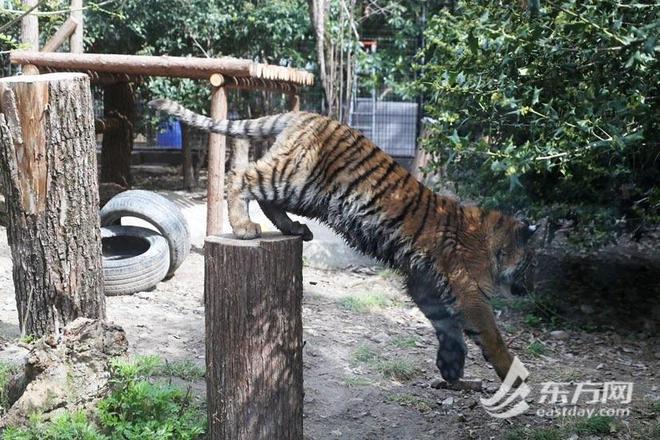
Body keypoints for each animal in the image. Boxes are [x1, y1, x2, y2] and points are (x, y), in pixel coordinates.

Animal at [149, 98, 537, 383]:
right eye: (531, 264)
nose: (532, 289)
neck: (492, 244)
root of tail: (306, 114)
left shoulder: (425, 282)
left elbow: (448, 327)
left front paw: (451, 367)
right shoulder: (468, 290)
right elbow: (490, 331)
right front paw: (512, 372)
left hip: (302, 192)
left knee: (266, 198)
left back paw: (294, 230)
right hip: (294, 177)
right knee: (240, 176)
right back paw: (245, 227)